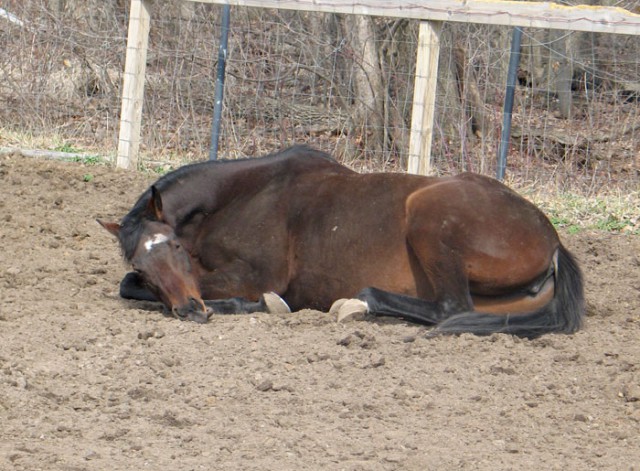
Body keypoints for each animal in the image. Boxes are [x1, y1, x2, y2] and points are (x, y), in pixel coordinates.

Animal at [99, 145, 584, 338]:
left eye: (175, 247)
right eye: (142, 264)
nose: (188, 311)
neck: (240, 197)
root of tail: (552, 240)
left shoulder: (255, 275)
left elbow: (249, 294)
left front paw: (263, 305)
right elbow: (127, 285)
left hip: (429, 218)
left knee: (450, 307)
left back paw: (356, 303)